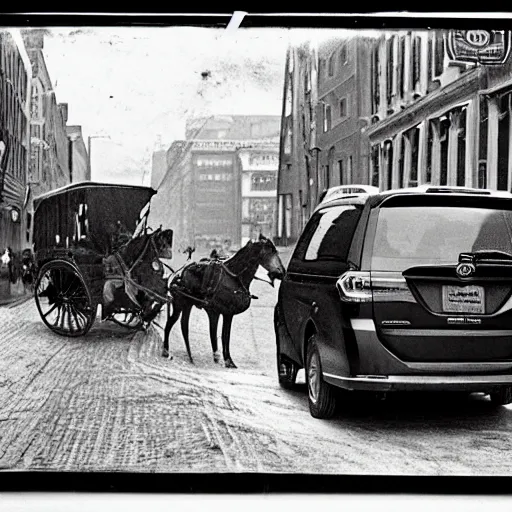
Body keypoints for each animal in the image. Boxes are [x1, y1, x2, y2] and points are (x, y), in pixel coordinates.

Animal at [162, 234, 286, 370]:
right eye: (270, 252)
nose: (282, 272)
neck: (234, 278)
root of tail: (180, 272)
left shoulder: (227, 314)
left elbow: (224, 336)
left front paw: (226, 360)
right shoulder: (216, 312)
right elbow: (218, 335)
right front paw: (223, 359)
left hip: (187, 305)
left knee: (183, 325)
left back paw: (189, 356)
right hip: (179, 304)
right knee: (171, 323)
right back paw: (166, 351)